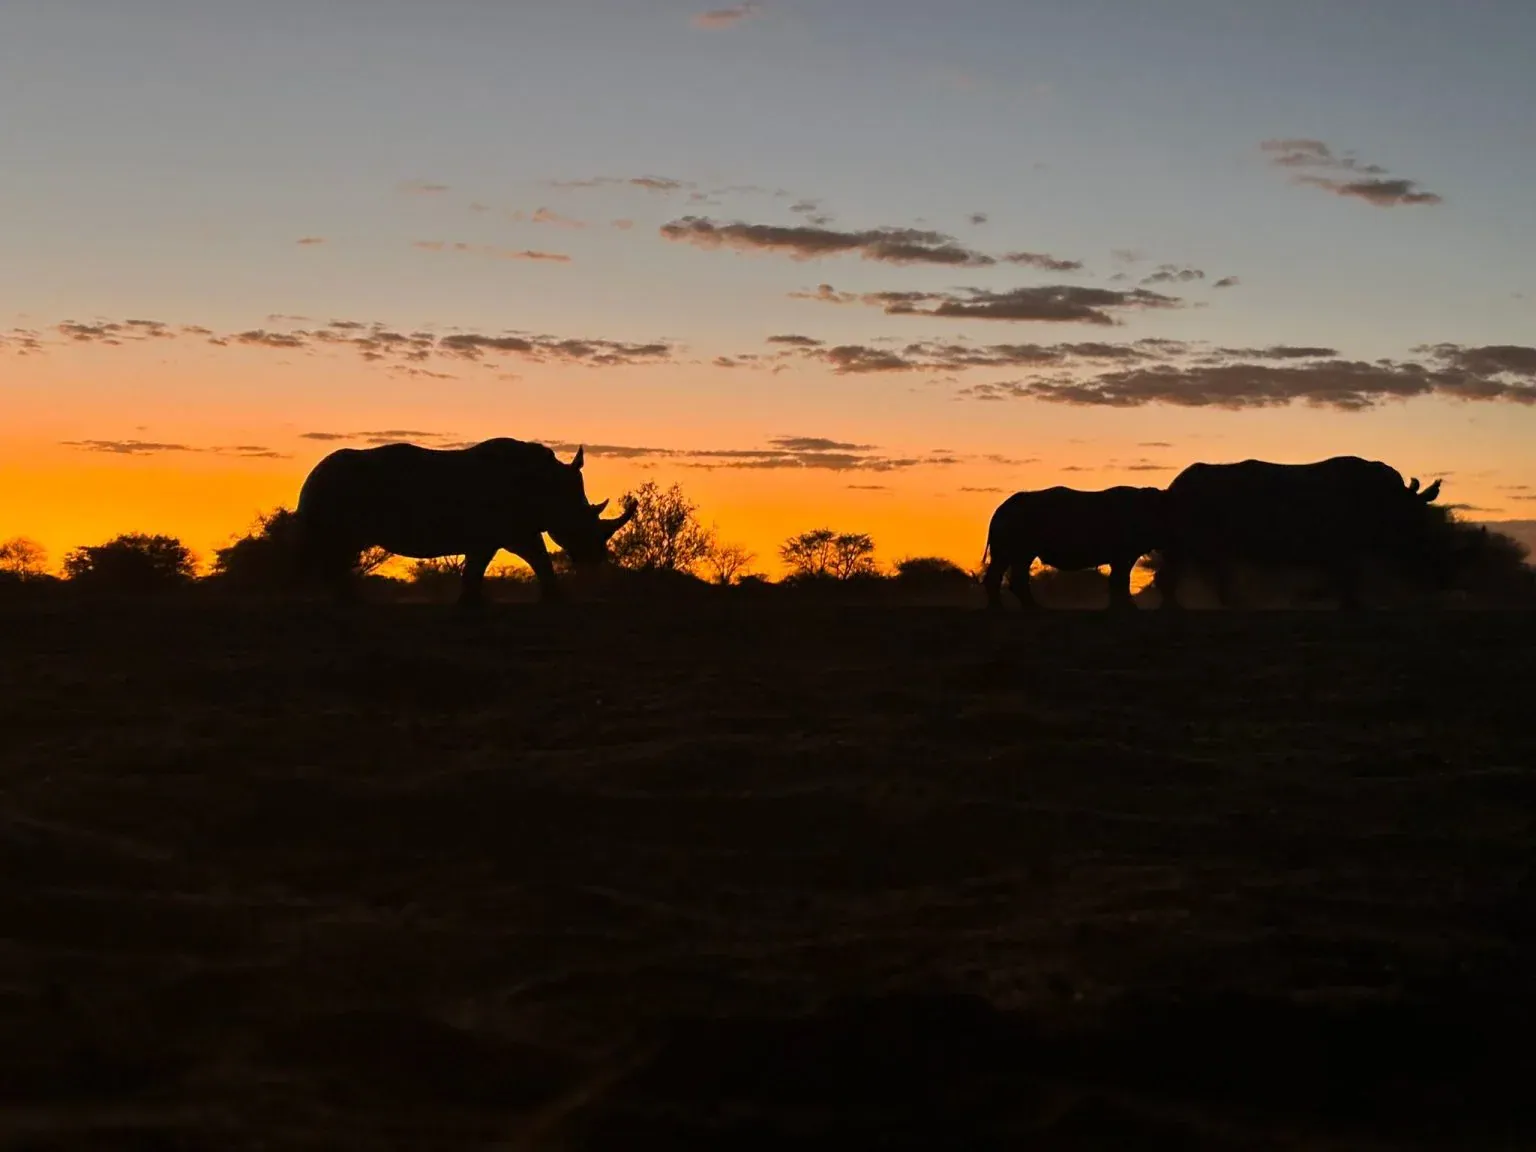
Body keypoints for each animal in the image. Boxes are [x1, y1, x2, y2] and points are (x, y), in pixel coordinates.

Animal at [294, 437, 635, 604]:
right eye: (583, 523)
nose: (597, 558)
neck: (549, 484)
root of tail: (312, 473)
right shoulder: (507, 530)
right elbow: (535, 558)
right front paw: (557, 600)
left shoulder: (504, 531)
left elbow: (488, 566)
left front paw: (472, 603)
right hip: (333, 489)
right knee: (329, 548)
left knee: (339, 551)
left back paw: (349, 601)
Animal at [980, 485, 1167, 610]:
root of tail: (999, 511)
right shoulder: (1124, 553)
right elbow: (1120, 579)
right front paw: (1128, 608)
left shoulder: (1125, 554)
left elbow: (1119, 579)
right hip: (1017, 530)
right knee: (1013, 565)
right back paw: (1027, 609)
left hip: (1015, 536)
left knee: (1010, 565)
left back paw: (1015, 609)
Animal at [1152, 455, 1466, 609]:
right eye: (1420, 536)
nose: (1445, 579)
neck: (1394, 502)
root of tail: (1172, 487)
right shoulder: (1342, 545)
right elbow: (1346, 576)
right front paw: (1351, 605)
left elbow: (1344, 576)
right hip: (1191, 514)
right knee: (1186, 559)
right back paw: (1179, 608)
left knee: (1204, 561)